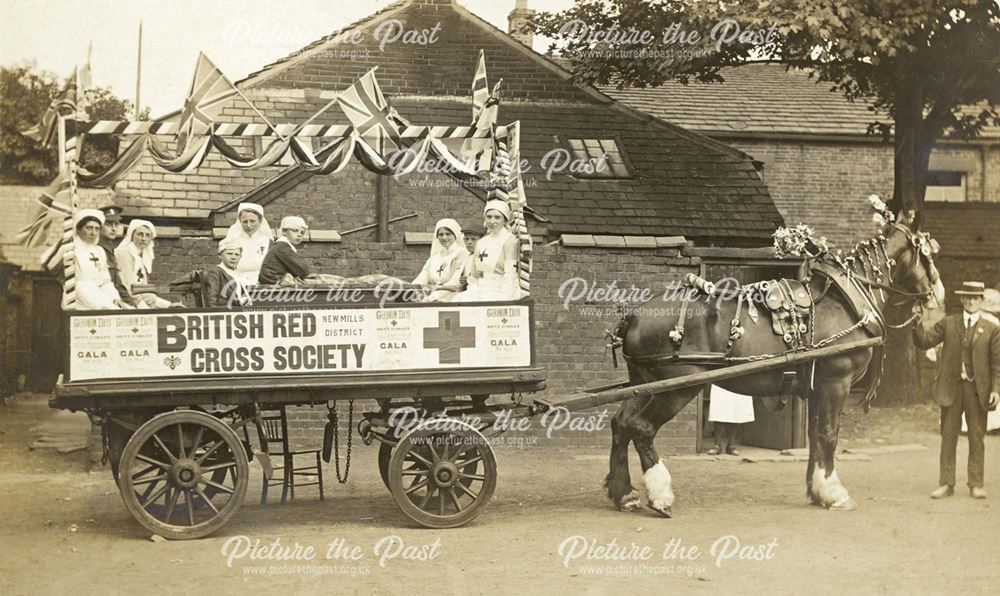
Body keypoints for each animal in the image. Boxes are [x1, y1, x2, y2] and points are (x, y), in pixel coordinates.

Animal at [604, 206, 940, 516]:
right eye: (927, 253)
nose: (937, 292)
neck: (844, 301)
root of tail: (635, 315)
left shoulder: (817, 387)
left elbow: (815, 437)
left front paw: (817, 490)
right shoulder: (836, 382)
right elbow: (829, 434)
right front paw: (835, 493)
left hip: (644, 383)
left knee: (621, 424)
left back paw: (624, 494)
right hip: (676, 387)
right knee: (641, 427)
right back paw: (660, 496)